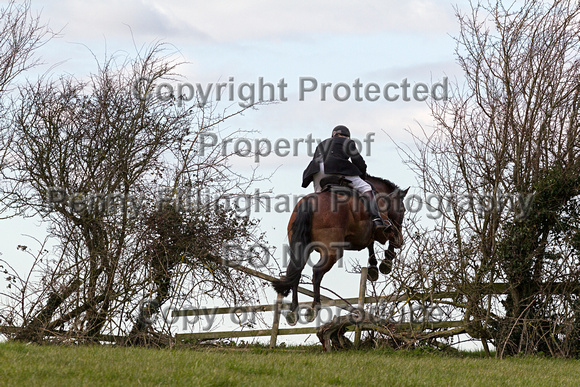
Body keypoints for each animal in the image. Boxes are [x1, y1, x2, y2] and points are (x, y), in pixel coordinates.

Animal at [272, 174, 408, 322]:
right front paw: (386, 263)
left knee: (296, 271)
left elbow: (370, 245)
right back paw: (314, 307)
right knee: (317, 272)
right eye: (403, 210)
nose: (401, 242)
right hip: (332, 252)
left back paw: (294, 310)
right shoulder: (382, 231)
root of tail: (309, 203)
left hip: (300, 248)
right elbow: (389, 239)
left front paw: (373, 268)